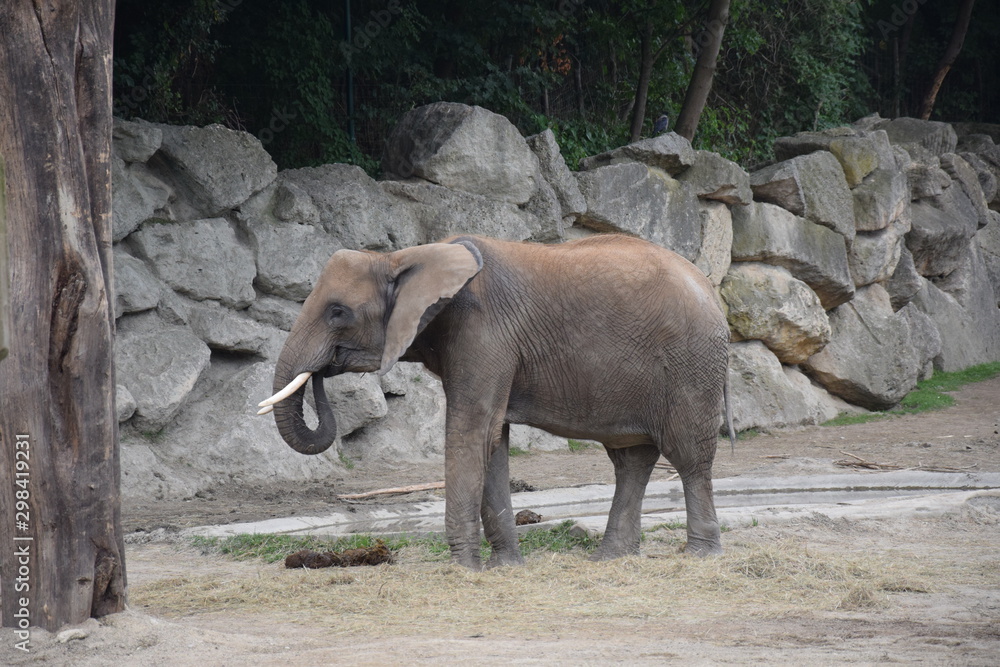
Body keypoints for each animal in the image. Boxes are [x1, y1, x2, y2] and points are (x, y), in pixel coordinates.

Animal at [259, 234, 734, 569]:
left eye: (338, 312)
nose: (321, 371)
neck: (404, 257)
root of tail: (712, 291)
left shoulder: (483, 331)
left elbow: (472, 432)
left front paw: (463, 570)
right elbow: (493, 439)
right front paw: (505, 566)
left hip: (692, 364)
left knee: (689, 456)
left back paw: (700, 555)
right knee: (631, 458)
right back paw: (609, 559)